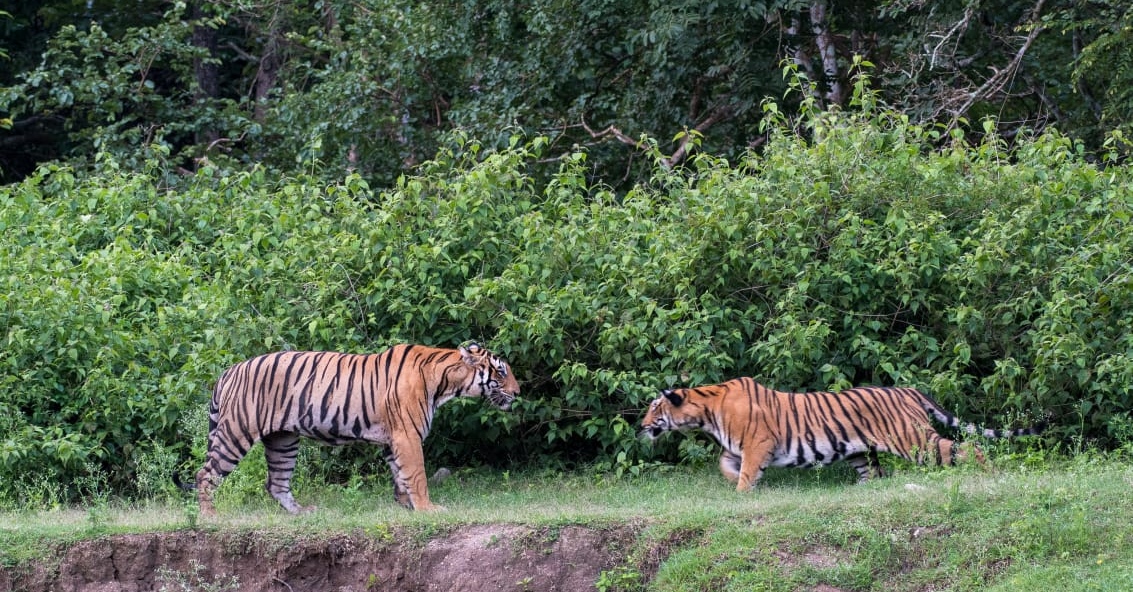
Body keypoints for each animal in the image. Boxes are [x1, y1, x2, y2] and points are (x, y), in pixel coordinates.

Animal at [189, 339, 518, 516]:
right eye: (501, 372)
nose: (518, 392)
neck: (445, 383)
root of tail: (230, 370)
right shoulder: (407, 436)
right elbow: (417, 474)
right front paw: (427, 509)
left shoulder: (393, 439)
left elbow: (401, 476)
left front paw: (406, 506)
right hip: (236, 432)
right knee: (205, 474)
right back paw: (210, 516)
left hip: (283, 441)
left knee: (276, 483)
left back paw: (301, 513)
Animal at [639, 380, 1042, 491]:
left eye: (655, 409)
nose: (641, 425)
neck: (706, 413)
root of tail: (907, 389)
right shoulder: (736, 448)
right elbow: (724, 465)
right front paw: (735, 483)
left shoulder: (758, 444)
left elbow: (747, 473)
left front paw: (742, 491)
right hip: (860, 451)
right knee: (874, 475)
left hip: (915, 442)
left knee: (970, 449)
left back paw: (989, 474)